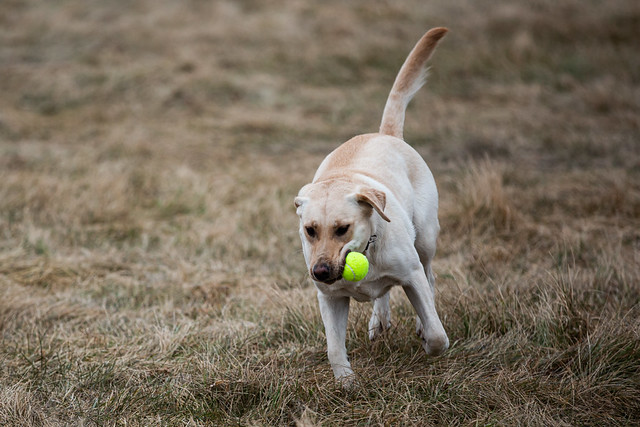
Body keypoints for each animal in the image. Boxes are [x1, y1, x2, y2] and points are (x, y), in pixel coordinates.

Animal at [296, 28, 450, 386]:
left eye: (342, 228)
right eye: (310, 230)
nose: (319, 272)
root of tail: (385, 134)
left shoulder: (410, 274)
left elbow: (437, 334)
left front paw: (428, 338)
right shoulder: (330, 299)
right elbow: (333, 347)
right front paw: (346, 383)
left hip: (425, 239)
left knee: (430, 277)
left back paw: (419, 321)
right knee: (383, 293)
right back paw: (379, 320)